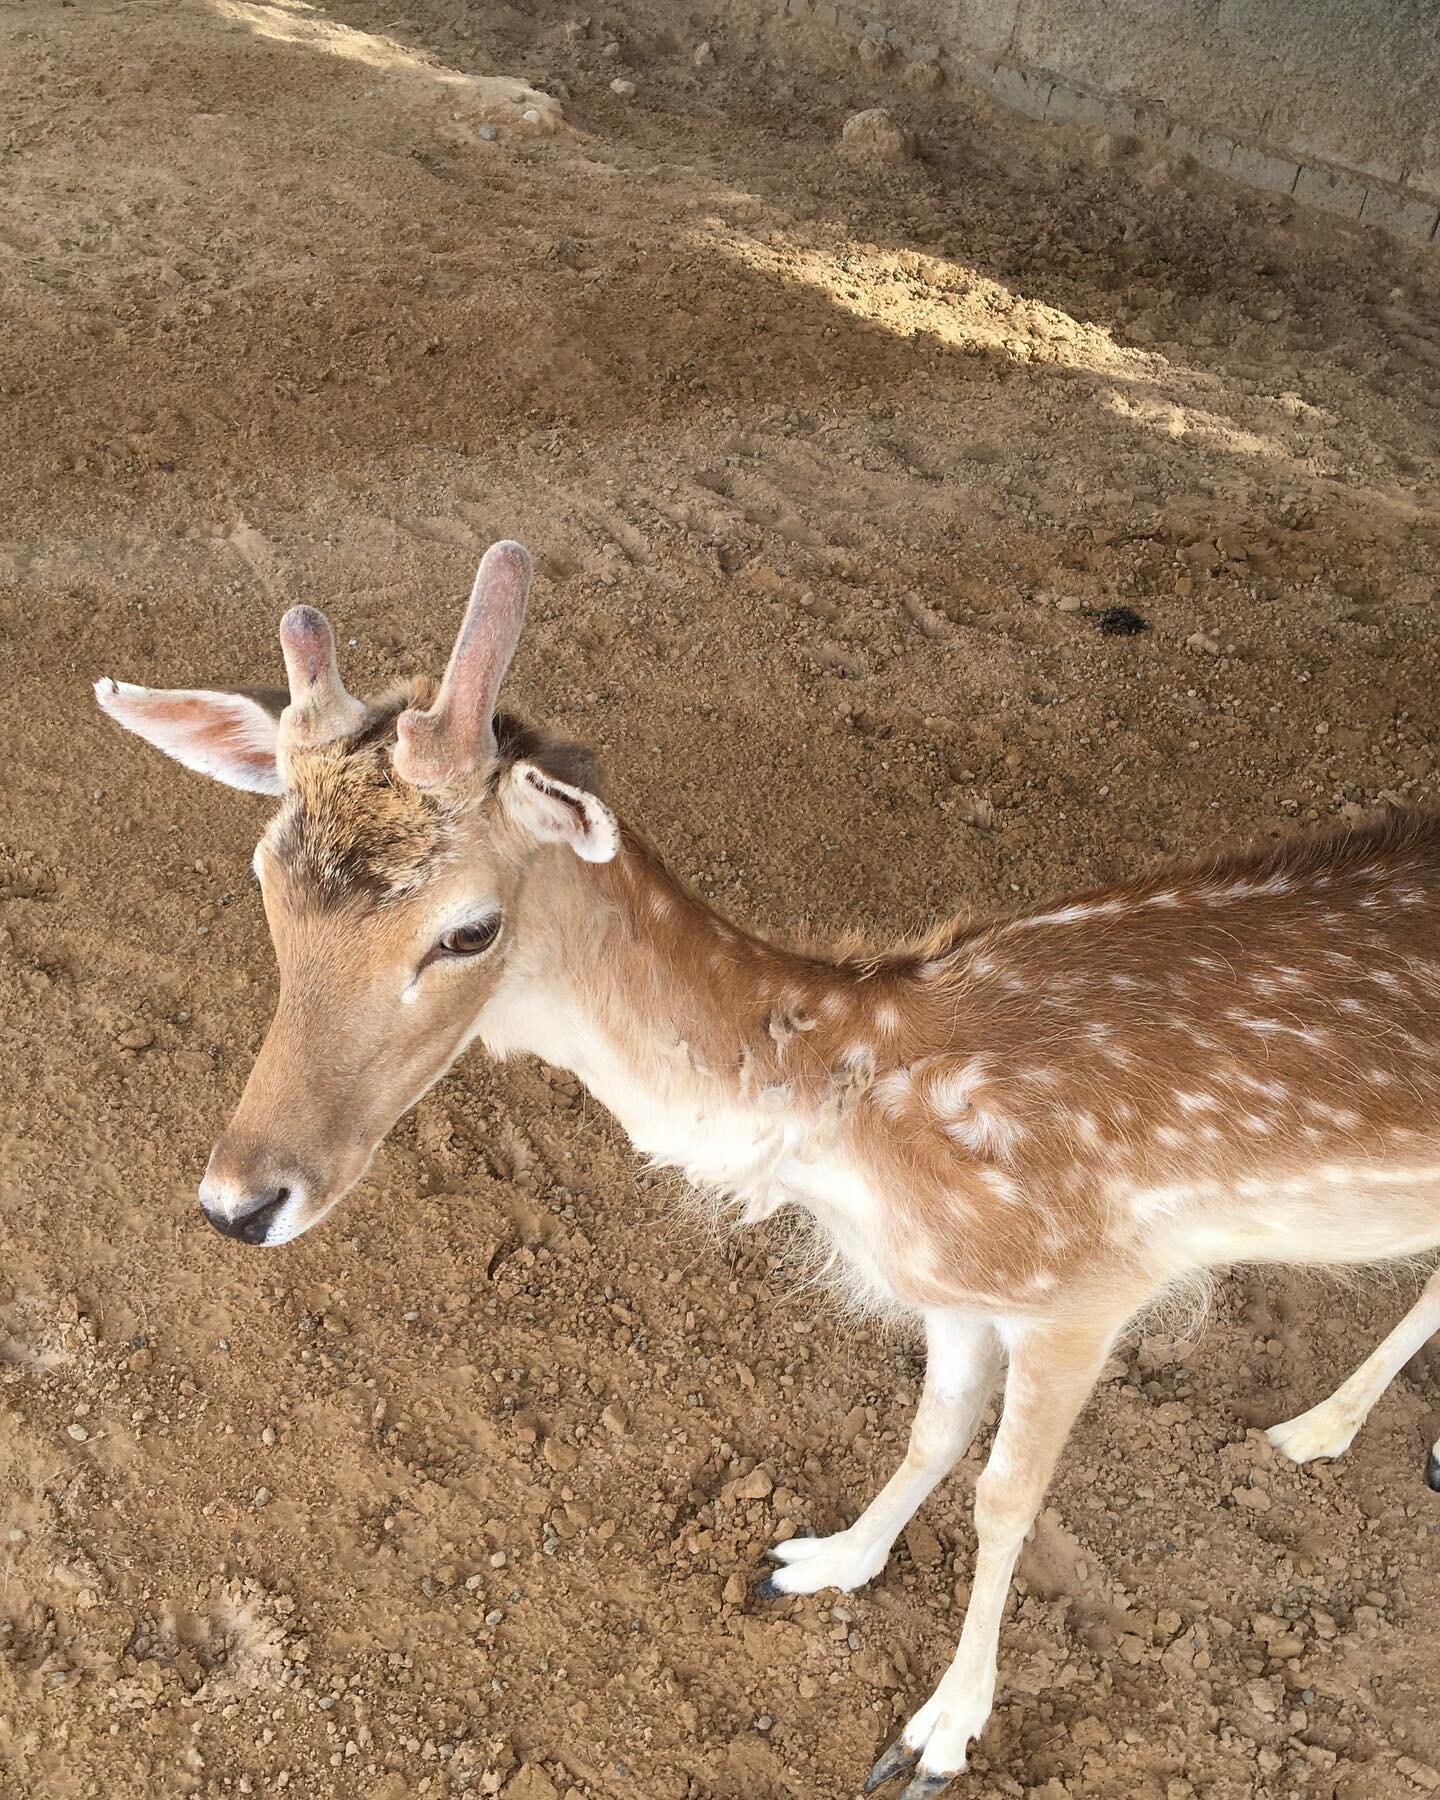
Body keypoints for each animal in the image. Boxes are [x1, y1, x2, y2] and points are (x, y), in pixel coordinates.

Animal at [95, 540, 1440, 1792]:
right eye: (265, 879)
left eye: (467, 931)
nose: (239, 1202)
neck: (857, 1116)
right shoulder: (952, 1291)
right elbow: (933, 1431)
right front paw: (822, 1561)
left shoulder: (1083, 1284)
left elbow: (1007, 1496)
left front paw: (939, 1733)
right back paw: (1327, 1428)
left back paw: (1316, 1431)